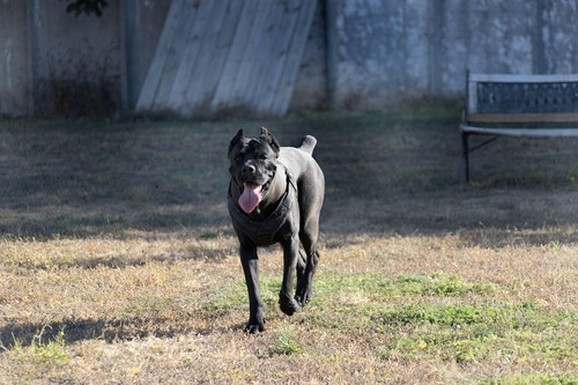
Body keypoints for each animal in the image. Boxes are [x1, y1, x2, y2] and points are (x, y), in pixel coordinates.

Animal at [226, 127, 324, 332]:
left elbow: (286, 280)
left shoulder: (289, 240)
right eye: (238, 157)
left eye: (263, 157)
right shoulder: (246, 248)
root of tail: (303, 150)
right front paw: (255, 322)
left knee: (312, 257)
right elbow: (253, 288)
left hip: (307, 225)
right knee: (302, 261)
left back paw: (304, 294)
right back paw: (299, 293)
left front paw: (289, 306)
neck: (259, 209)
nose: (248, 168)